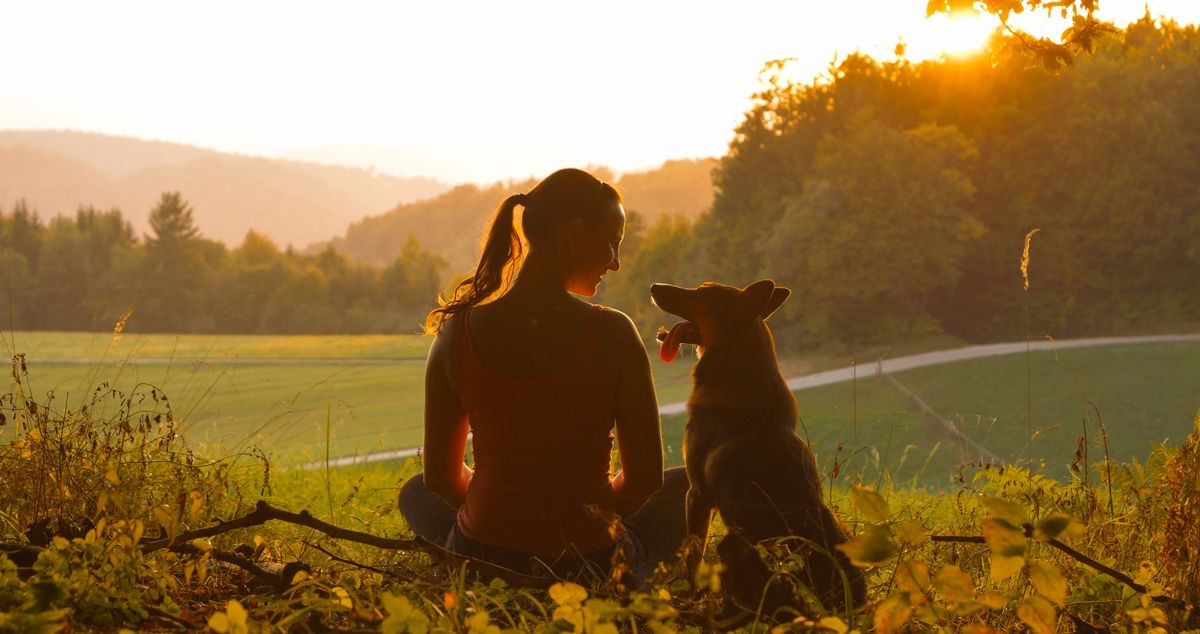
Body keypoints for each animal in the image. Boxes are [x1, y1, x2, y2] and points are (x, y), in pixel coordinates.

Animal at [652, 279, 868, 614]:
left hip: (732, 543)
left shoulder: (697, 493)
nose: (653, 286)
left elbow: (692, 556)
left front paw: (684, 596)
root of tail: (828, 604)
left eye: (701, 293)